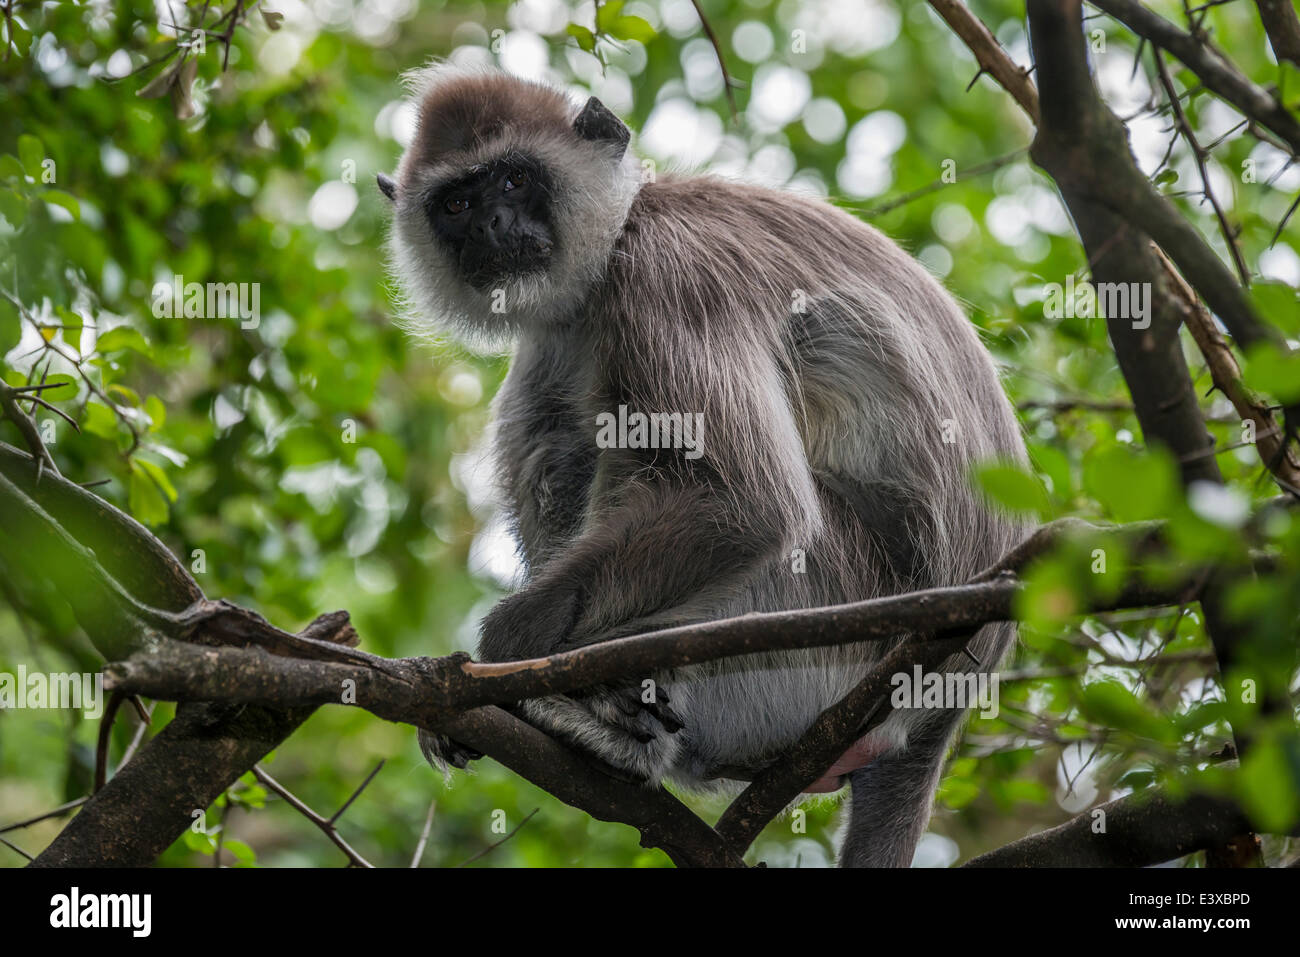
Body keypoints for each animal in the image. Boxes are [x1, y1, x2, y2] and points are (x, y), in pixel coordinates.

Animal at [379, 63, 1029, 863]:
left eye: (514, 180)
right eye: (457, 203)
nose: (490, 226)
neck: (622, 229)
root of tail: (948, 703)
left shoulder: (666, 272)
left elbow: (742, 504)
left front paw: (509, 657)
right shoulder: (566, 321)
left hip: (843, 622)